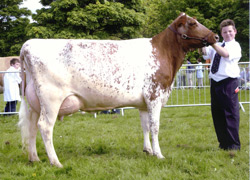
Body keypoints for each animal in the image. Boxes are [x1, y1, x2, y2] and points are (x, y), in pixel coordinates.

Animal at [18, 13, 218, 168]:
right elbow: (155, 126)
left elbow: (145, 126)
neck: (163, 53)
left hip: (35, 102)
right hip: (51, 99)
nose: (215, 37)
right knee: (45, 127)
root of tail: (28, 44)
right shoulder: (154, 96)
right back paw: (55, 162)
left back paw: (34, 158)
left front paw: (148, 150)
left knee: (32, 127)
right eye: (192, 23)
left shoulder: (143, 103)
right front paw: (159, 154)